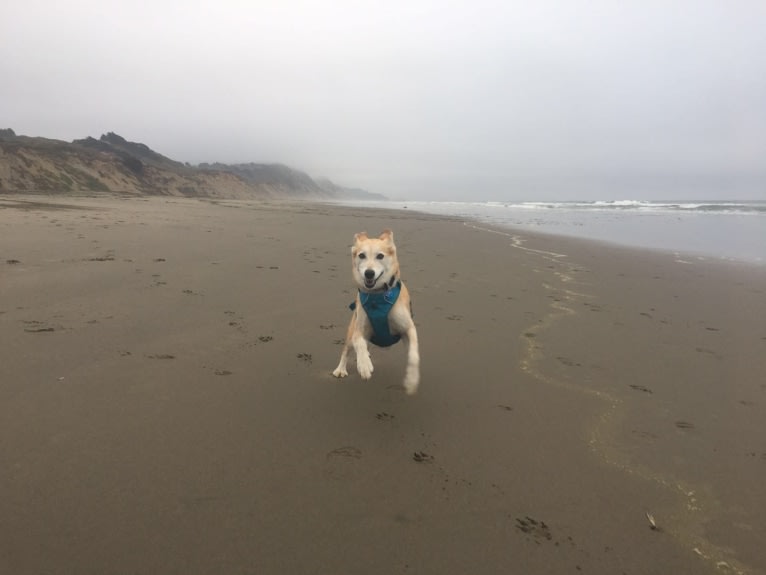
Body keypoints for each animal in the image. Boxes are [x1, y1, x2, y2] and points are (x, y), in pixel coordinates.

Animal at [332, 230, 424, 396]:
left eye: (380, 256)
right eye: (361, 255)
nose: (369, 273)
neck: (378, 297)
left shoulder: (408, 328)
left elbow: (414, 356)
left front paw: (411, 381)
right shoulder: (359, 330)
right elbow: (359, 343)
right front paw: (364, 366)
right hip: (351, 329)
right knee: (346, 350)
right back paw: (340, 369)